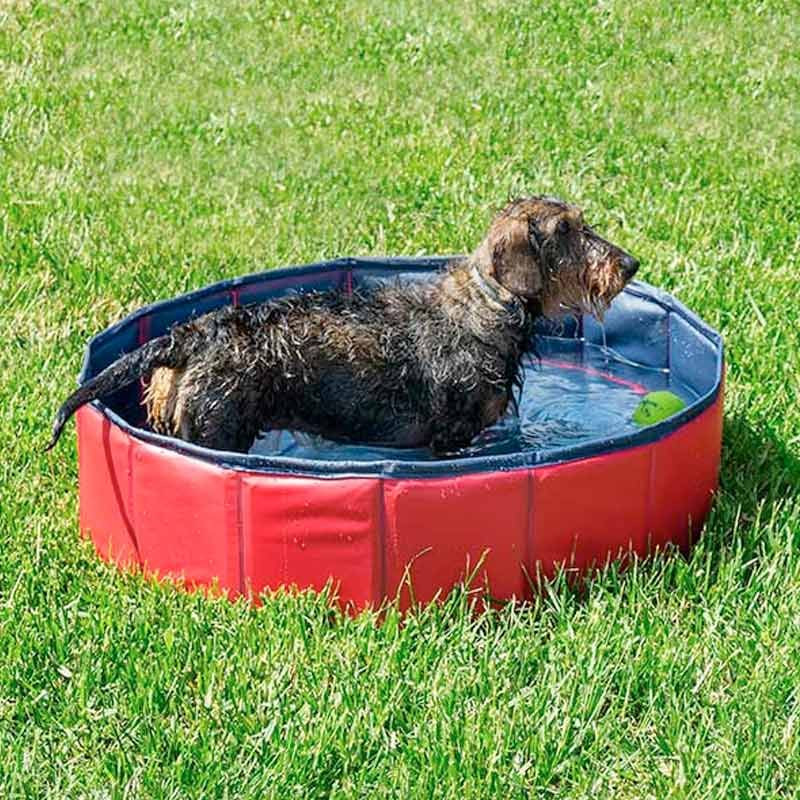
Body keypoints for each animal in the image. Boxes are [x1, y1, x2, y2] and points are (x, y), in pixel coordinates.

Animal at [47, 198, 640, 456]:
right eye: (566, 230)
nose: (630, 265)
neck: (486, 306)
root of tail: (195, 333)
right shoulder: (450, 438)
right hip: (216, 429)